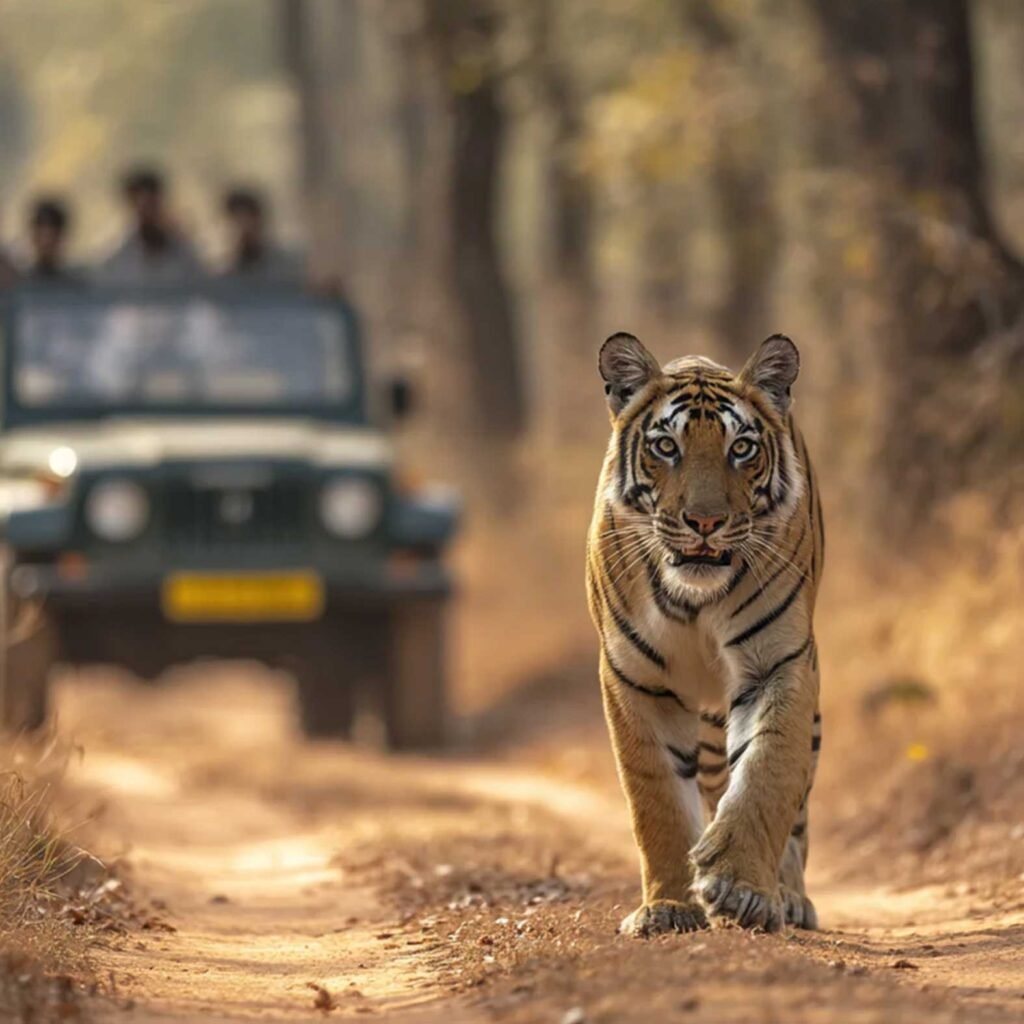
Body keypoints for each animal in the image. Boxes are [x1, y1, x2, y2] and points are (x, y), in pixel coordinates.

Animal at [586, 331, 824, 936]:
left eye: (741, 448)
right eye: (665, 446)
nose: (705, 523)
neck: (695, 602)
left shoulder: (779, 663)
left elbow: (767, 772)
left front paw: (741, 890)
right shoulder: (634, 680)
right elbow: (657, 801)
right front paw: (667, 907)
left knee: (795, 810)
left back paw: (790, 897)